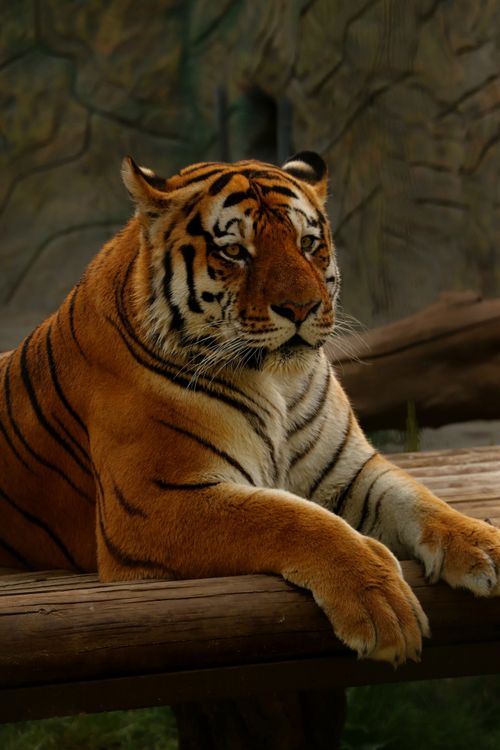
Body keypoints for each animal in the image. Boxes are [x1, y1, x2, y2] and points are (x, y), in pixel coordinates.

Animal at [1, 151, 500, 666]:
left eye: (307, 243)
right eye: (236, 252)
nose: (301, 308)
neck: (278, 381)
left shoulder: (349, 471)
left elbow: (419, 498)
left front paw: (484, 543)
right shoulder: (154, 502)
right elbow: (292, 521)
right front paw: (381, 604)